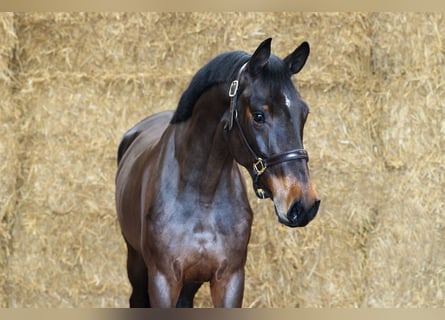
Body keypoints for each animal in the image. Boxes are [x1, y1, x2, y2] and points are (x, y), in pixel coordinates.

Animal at [114, 38, 320, 308]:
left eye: (303, 113)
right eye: (259, 115)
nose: (303, 205)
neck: (203, 195)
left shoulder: (229, 279)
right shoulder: (163, 280)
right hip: (136, 263)